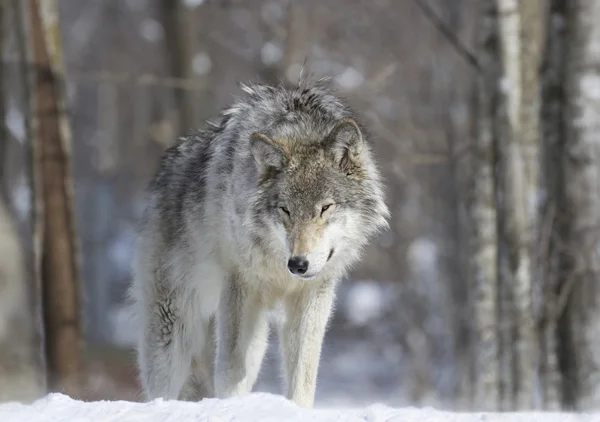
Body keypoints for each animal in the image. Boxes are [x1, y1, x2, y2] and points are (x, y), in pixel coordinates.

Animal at [131, 77, 390, 408]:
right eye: (285, 210)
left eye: (325, 208)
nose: (298, 264)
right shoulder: (240, 287)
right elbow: (230, 374)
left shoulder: (313, 295)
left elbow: (303, 376)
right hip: (175, 327)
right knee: (164, 385)